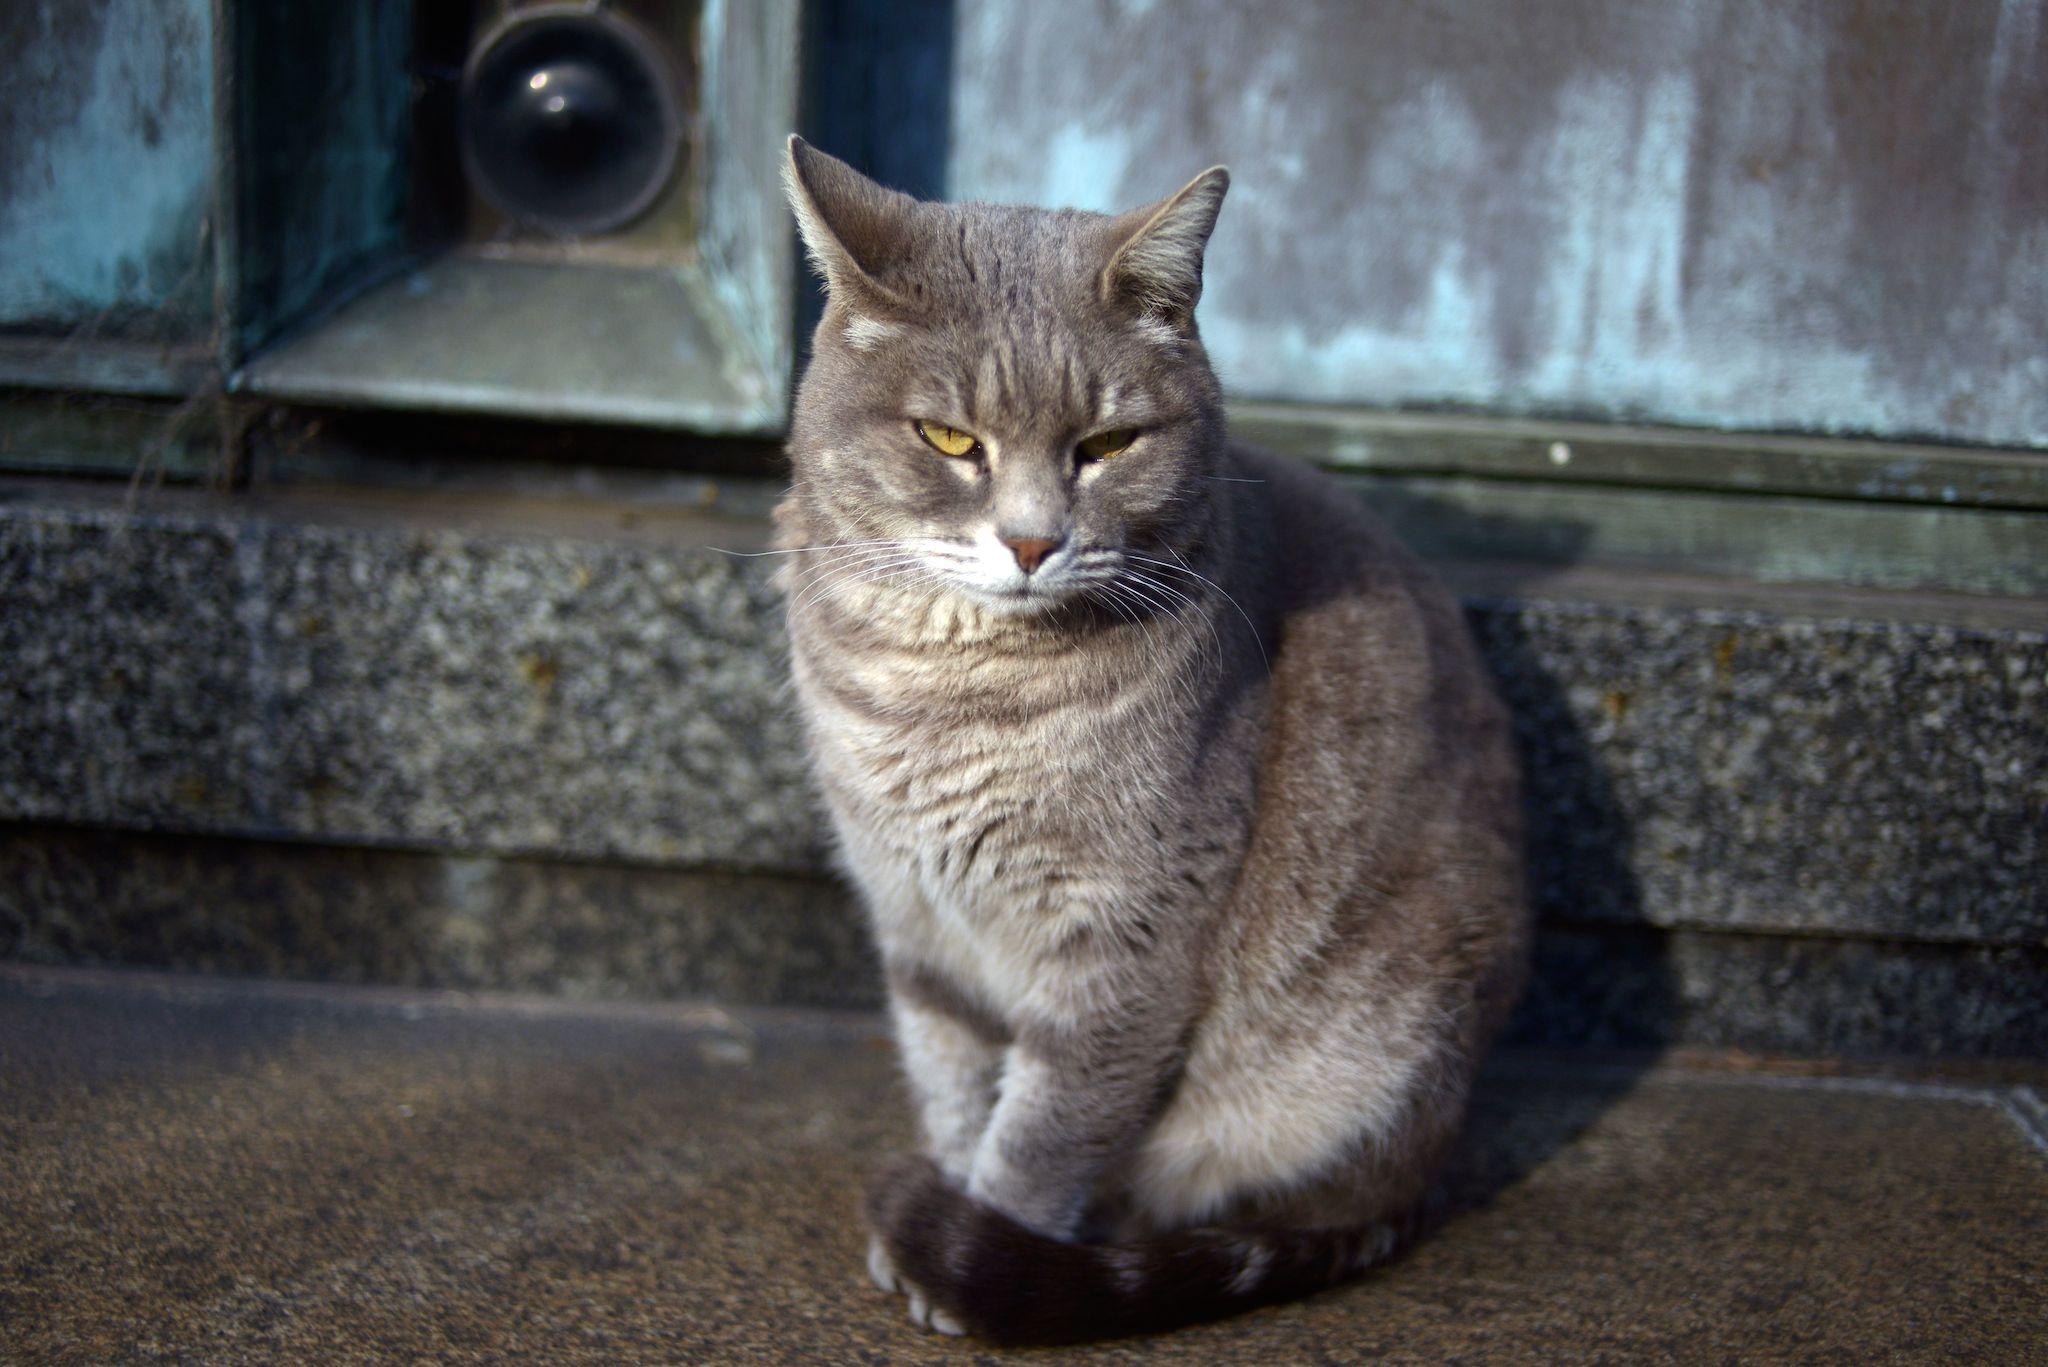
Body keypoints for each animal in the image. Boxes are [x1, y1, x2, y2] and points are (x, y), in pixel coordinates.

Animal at [774, 141, 1531, 1344]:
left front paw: (972, 1248)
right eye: (950, 439)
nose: (1030, 541)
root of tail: (1427, 1168)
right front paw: (942, 1205)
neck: (948, 687)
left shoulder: (1127, 930)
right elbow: (954, 1083)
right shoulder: (916, 920)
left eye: (1106, 445)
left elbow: (1043, 1128)